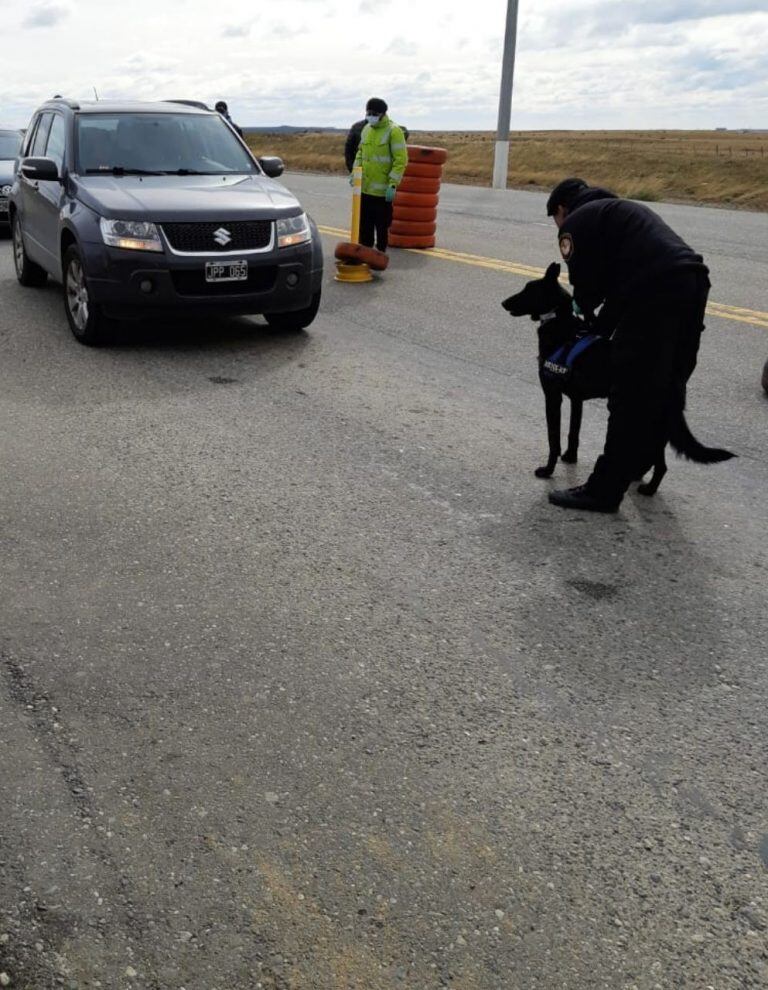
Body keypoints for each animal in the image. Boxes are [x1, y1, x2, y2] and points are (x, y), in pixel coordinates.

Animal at [500, 264, 736, 496]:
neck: (560, 323)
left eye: (528, 290)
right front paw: (570, 457)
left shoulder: (552, 396)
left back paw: (648, 489)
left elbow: (553, 439)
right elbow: (573, 432)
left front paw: (548, 470)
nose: (503, 303)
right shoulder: (577, 400)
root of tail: (673, 380)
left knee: (660, 463)